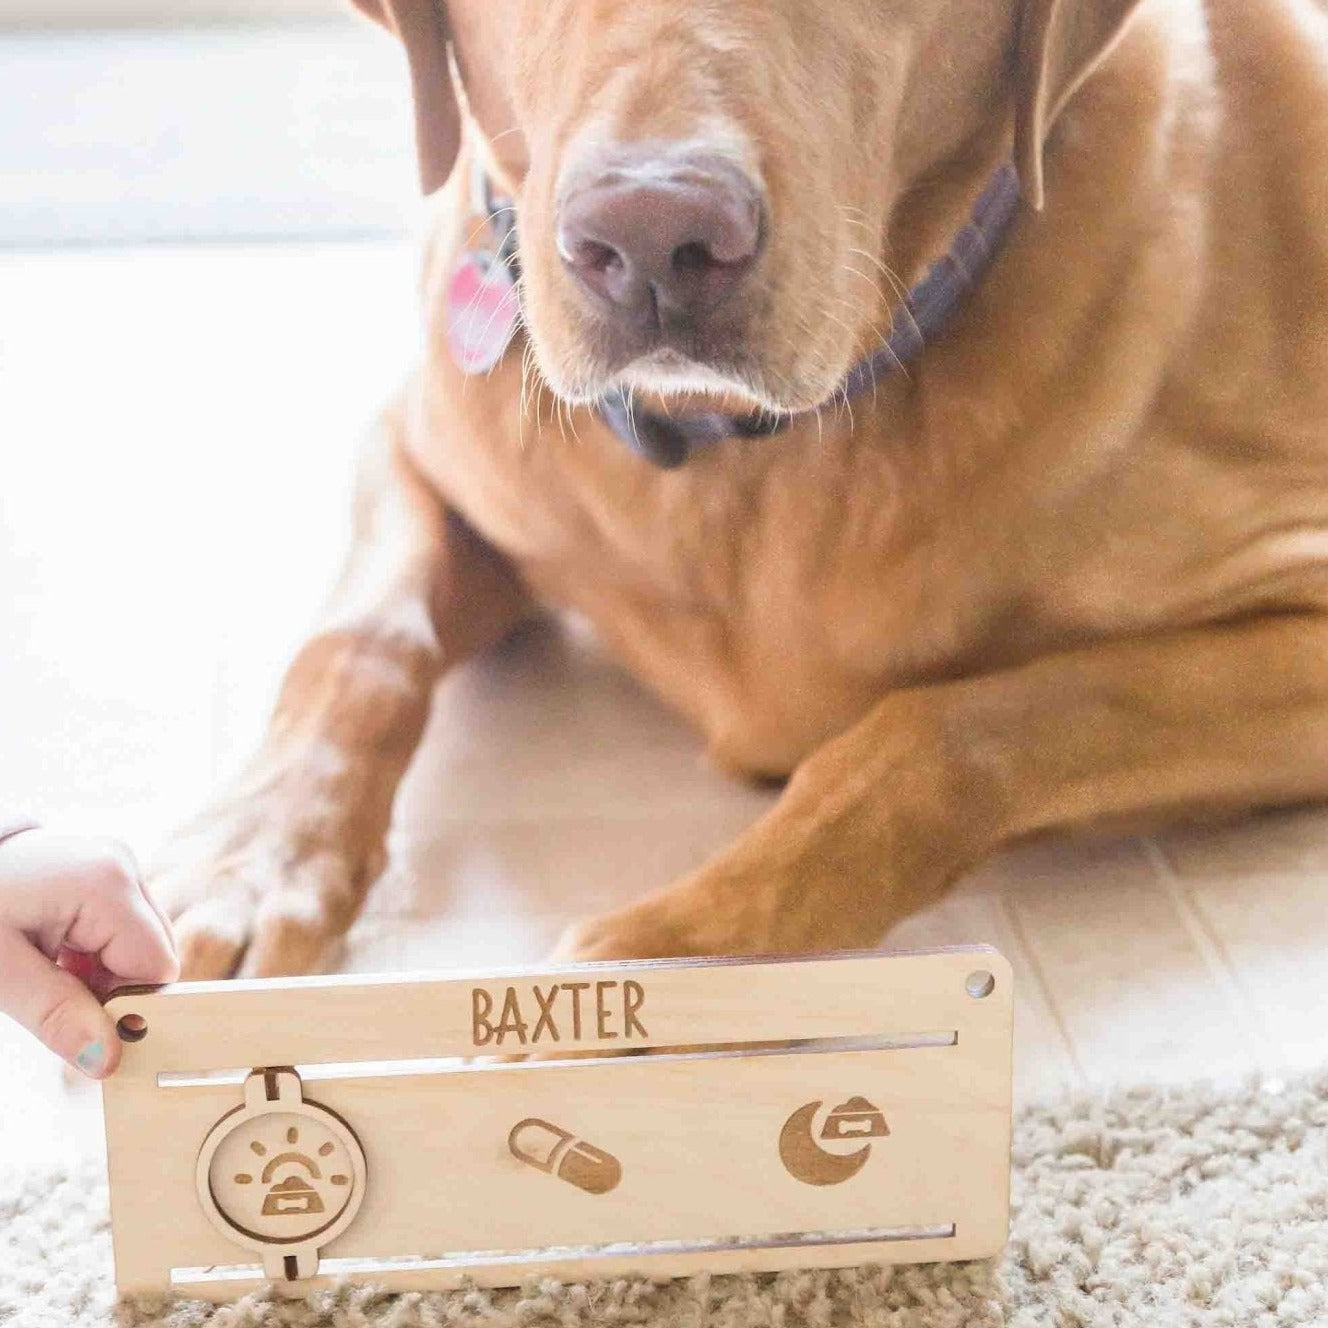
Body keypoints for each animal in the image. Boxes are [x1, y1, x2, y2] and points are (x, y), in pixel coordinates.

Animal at [152, 0, 1328, 977]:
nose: (650, 237)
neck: (729, 447)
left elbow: (944, 729)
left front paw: (674, 954)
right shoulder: (415, 439)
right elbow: (360, 642)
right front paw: (255, 858)